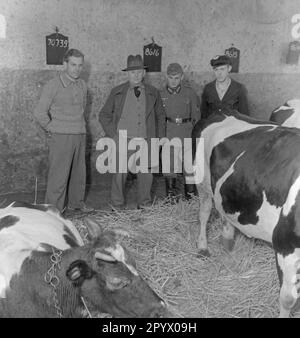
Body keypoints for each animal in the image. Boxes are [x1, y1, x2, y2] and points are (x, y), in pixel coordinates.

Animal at [193, 111, 300, 316]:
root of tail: (222, 112)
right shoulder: (285, 245)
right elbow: (288, 299)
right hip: (201, 180)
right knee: (204, 213)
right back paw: (202, 247)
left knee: (225, 220)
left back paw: (228, 249)